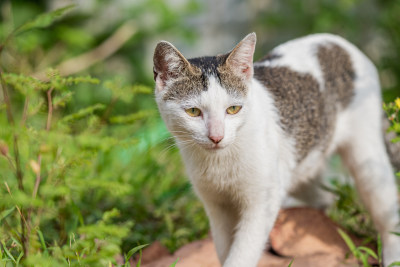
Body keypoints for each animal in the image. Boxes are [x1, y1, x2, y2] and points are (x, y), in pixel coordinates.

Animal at [152, 33, 400, 267]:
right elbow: (224, 250)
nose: (216, 136)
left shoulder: (262, 203)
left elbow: (242, 255)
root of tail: (339, 42)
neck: (220, 162)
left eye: (233, 109)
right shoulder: (217, 206)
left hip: (366, 160)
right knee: (325, 197)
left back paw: (392, 255)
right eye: (193, 112)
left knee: (387, 211)